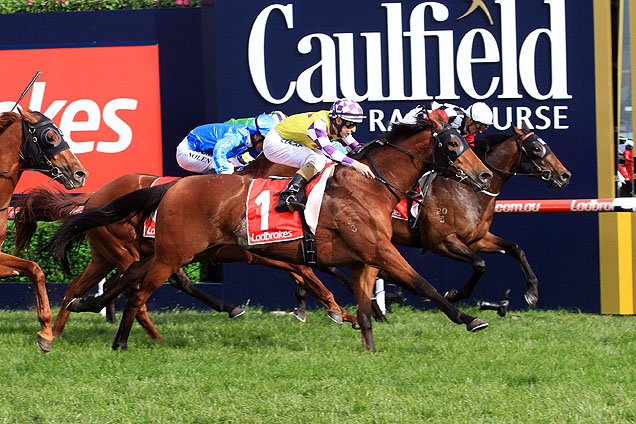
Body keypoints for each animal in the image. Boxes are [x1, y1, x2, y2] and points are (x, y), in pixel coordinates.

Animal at [52, 112, 494, 352]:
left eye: (467, 139)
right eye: (453, 143)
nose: (484, 175)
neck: (369, 185)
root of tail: (170, 188)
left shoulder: (364, 256)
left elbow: (363, 302)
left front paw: (365, 340)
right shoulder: (374, 251)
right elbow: (423, 285)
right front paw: (469, 317)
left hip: (141, 253)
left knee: (110, 284)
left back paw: (68, 320)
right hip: (163, 252)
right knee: (138, 292)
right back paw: (118, 340)